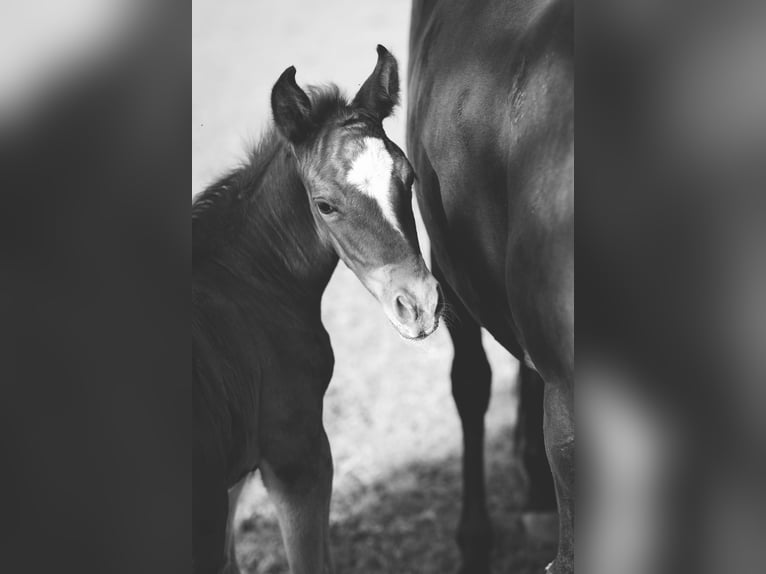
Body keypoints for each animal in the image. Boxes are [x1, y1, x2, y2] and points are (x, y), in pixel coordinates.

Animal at [192, 45, 442, 574]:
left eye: (408, 178)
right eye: (325, 205)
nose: (421, 305)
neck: (245, 278)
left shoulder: (234, 478)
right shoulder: (298, 452)